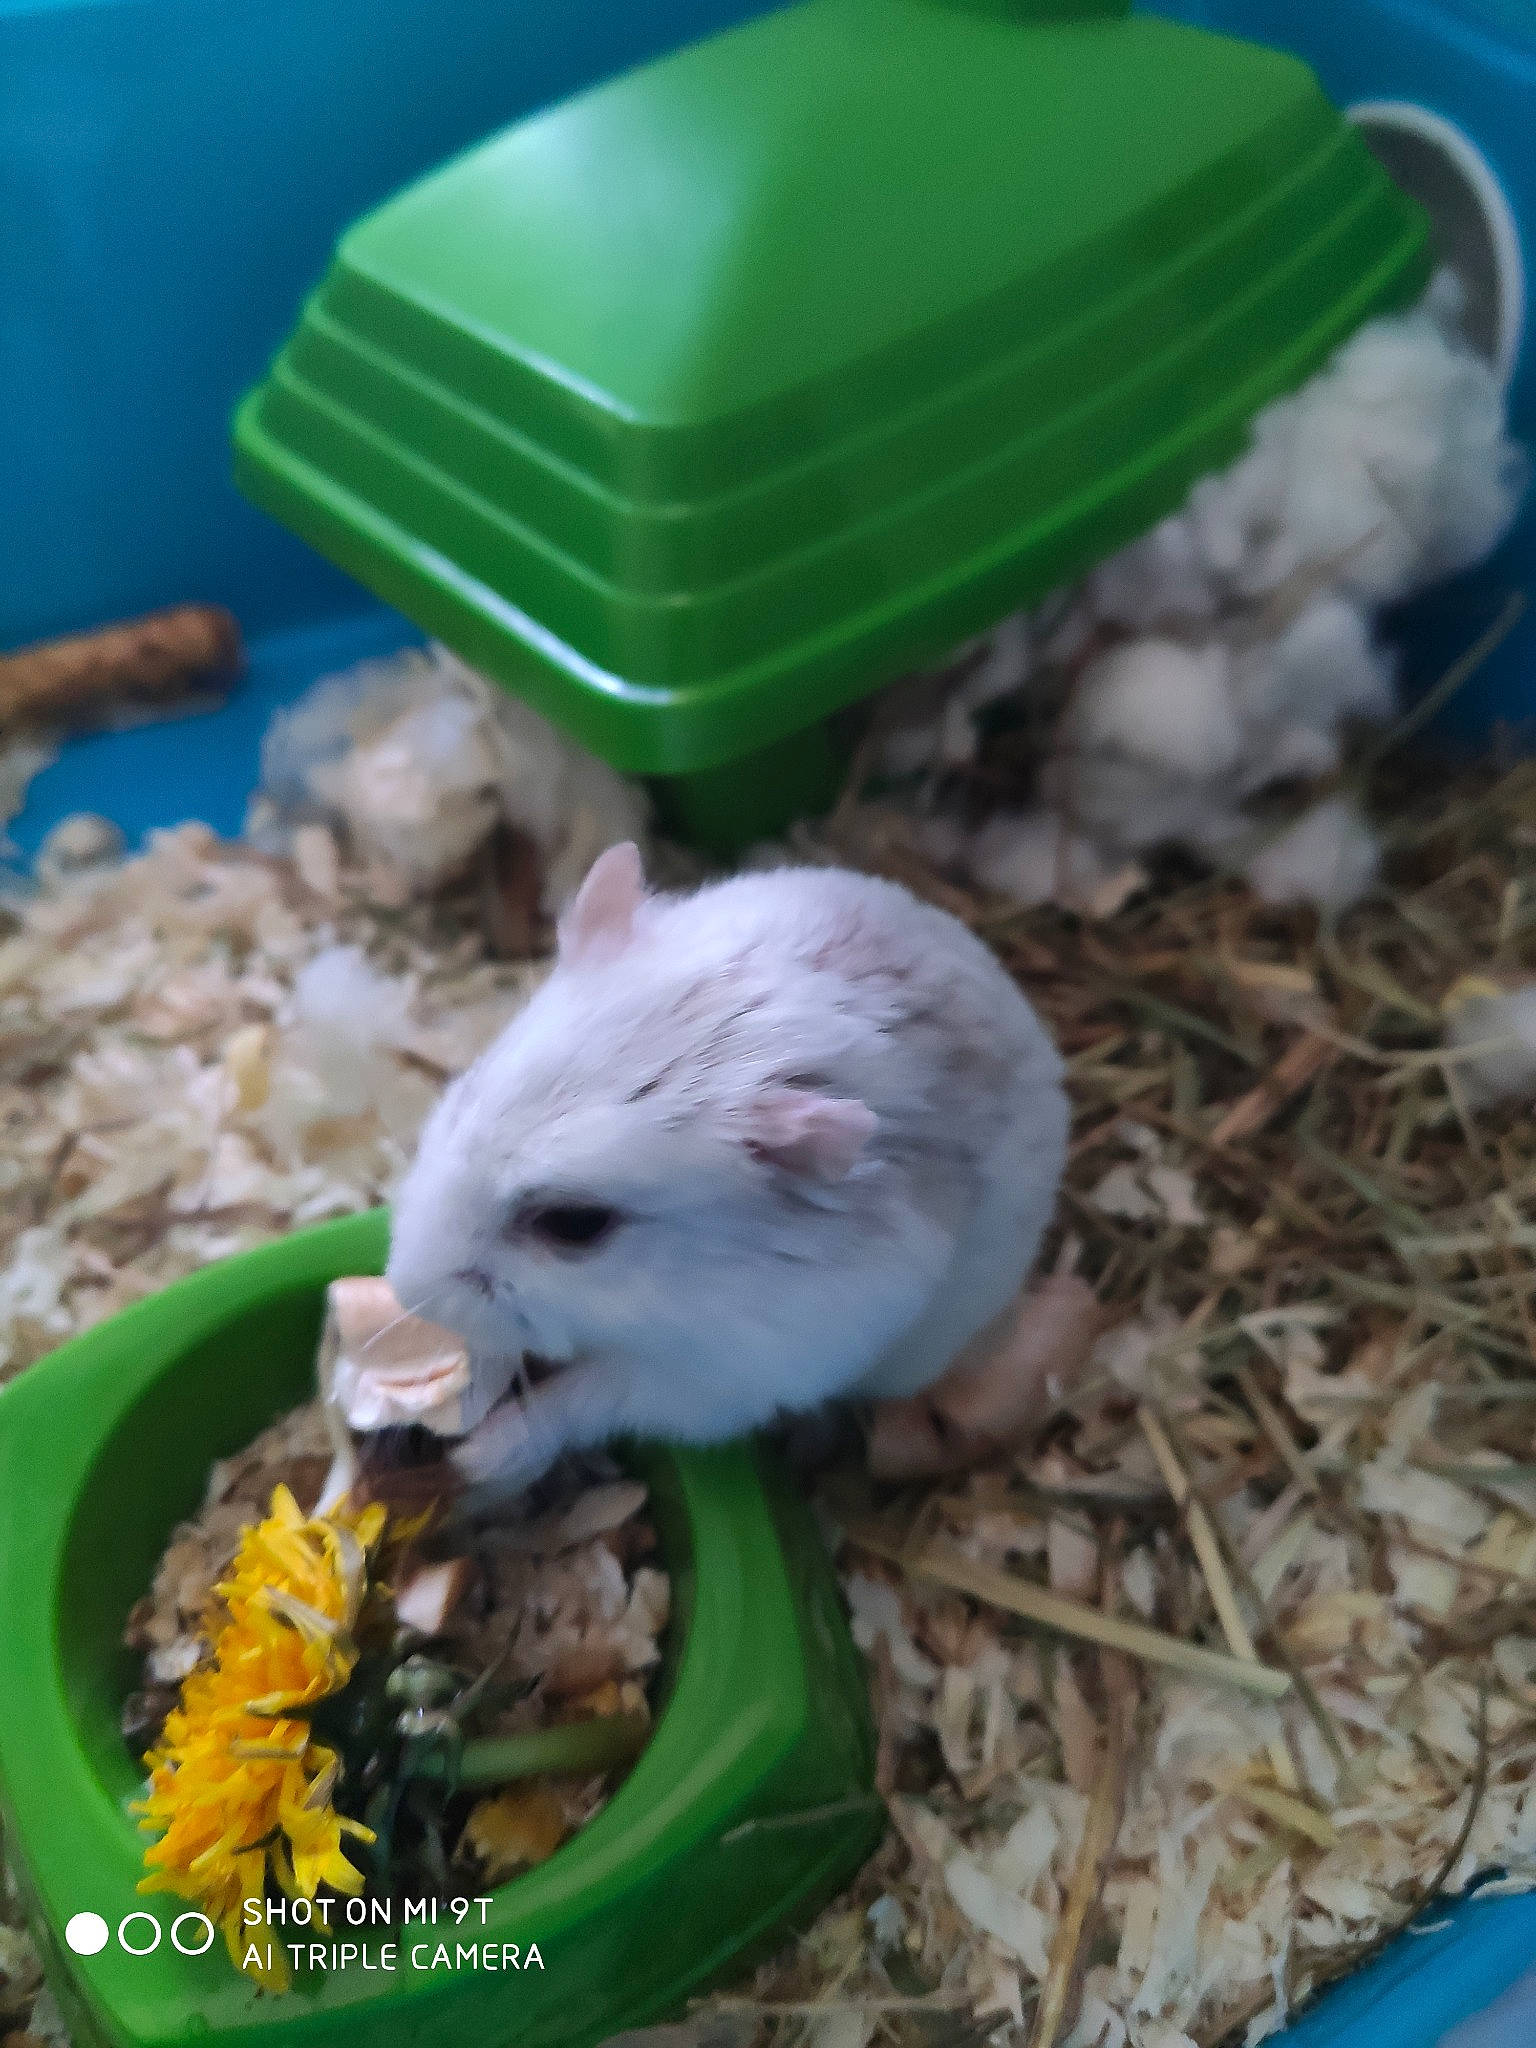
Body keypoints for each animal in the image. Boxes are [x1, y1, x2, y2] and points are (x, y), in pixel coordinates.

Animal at [385, 842, 1069, 1500]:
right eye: (464, 1091)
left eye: (576, 1224)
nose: (403, 1288)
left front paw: (475, 1457)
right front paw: (460, 1394)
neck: (686, 1286)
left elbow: (587, 1398)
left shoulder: (714, 1380)